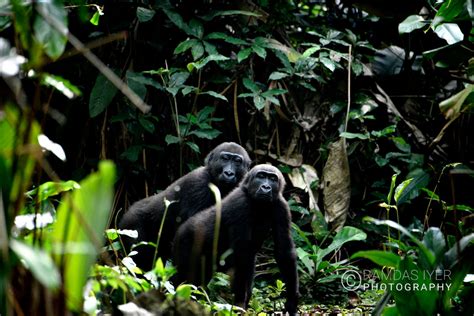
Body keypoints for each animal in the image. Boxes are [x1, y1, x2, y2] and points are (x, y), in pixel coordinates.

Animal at [174, 164, 298, 314]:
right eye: (261, 176)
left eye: (273, 179)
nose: (266, 187)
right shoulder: (241, 204)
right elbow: (242, 255)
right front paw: (239, 303)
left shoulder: (281, 207)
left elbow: (284, 251)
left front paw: (292, 299)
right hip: (184, 240)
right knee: (184, 278)